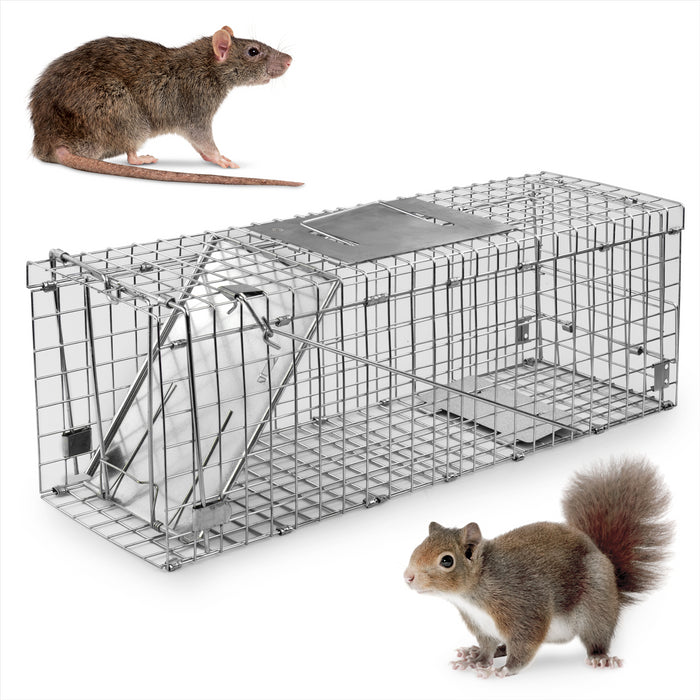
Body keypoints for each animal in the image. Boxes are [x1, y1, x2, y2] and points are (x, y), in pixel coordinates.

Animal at [403, 456, 673, 678]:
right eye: (420, 545)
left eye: (447, 560)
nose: (408, 577)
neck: (473, 593)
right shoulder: (482, 625)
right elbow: (488, 646)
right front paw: (477, 660)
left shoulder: (523, 606)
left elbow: (526, 643)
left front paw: (505, 670)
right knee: (502, 645)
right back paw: (476, 651)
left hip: (596, 605)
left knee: (597, 636)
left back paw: (600, 657)